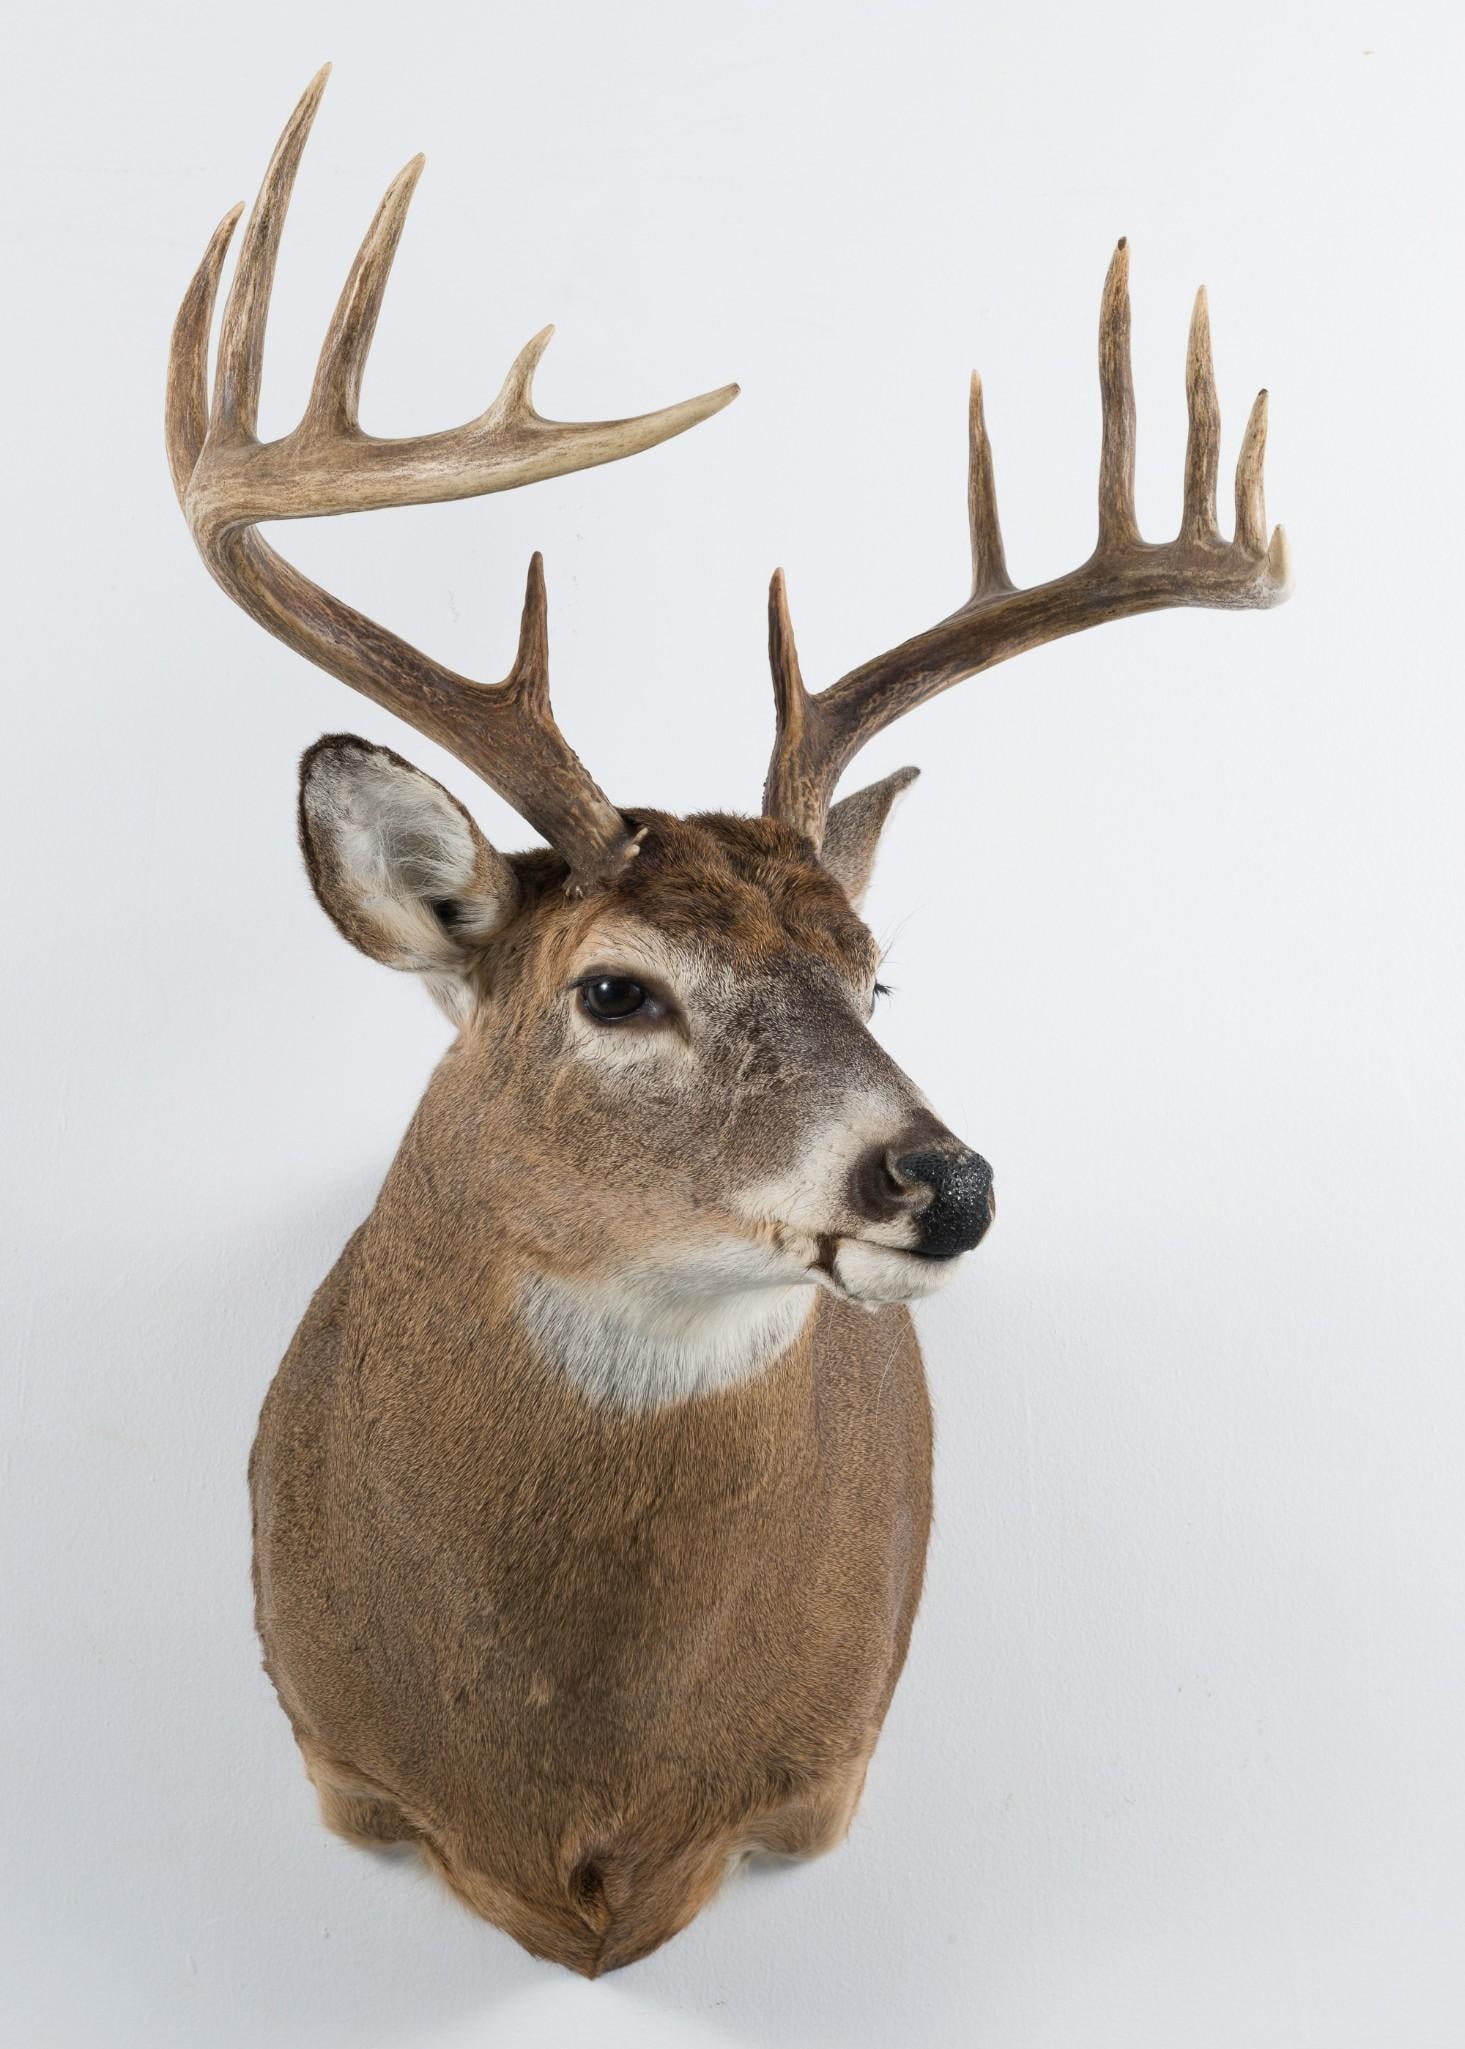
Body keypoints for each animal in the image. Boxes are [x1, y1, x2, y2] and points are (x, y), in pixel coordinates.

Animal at [166, 68, 1291, 1977]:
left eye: (874, 971)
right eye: (617, 985)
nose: (945, 1181)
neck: (583, 1798)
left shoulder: (827, 1768)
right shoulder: (332, 1753)